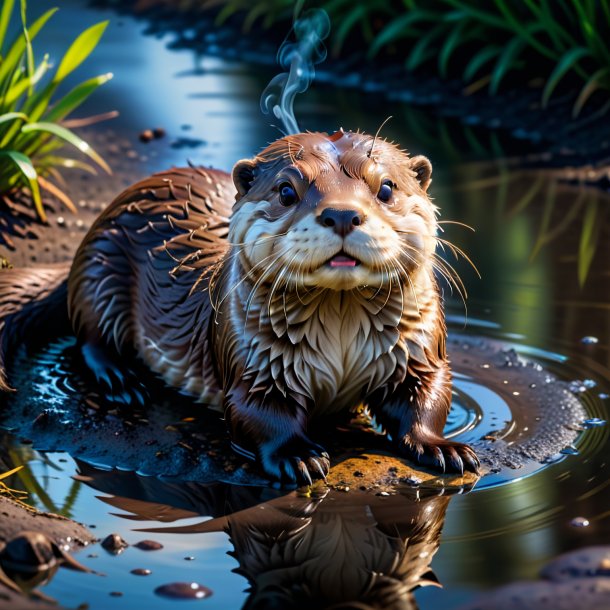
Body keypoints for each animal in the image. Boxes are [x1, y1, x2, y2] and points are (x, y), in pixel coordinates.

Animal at [0, 131, 478, 482]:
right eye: (287, 191)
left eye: (386, 188)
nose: (342, 214)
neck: (340, 342)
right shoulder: (255, 361)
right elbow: (260, 414)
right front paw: (297, 457)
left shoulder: (418, 347)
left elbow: (426, 394)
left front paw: (444, 447)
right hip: (101, 267)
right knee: (89, 335)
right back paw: (121, 379)